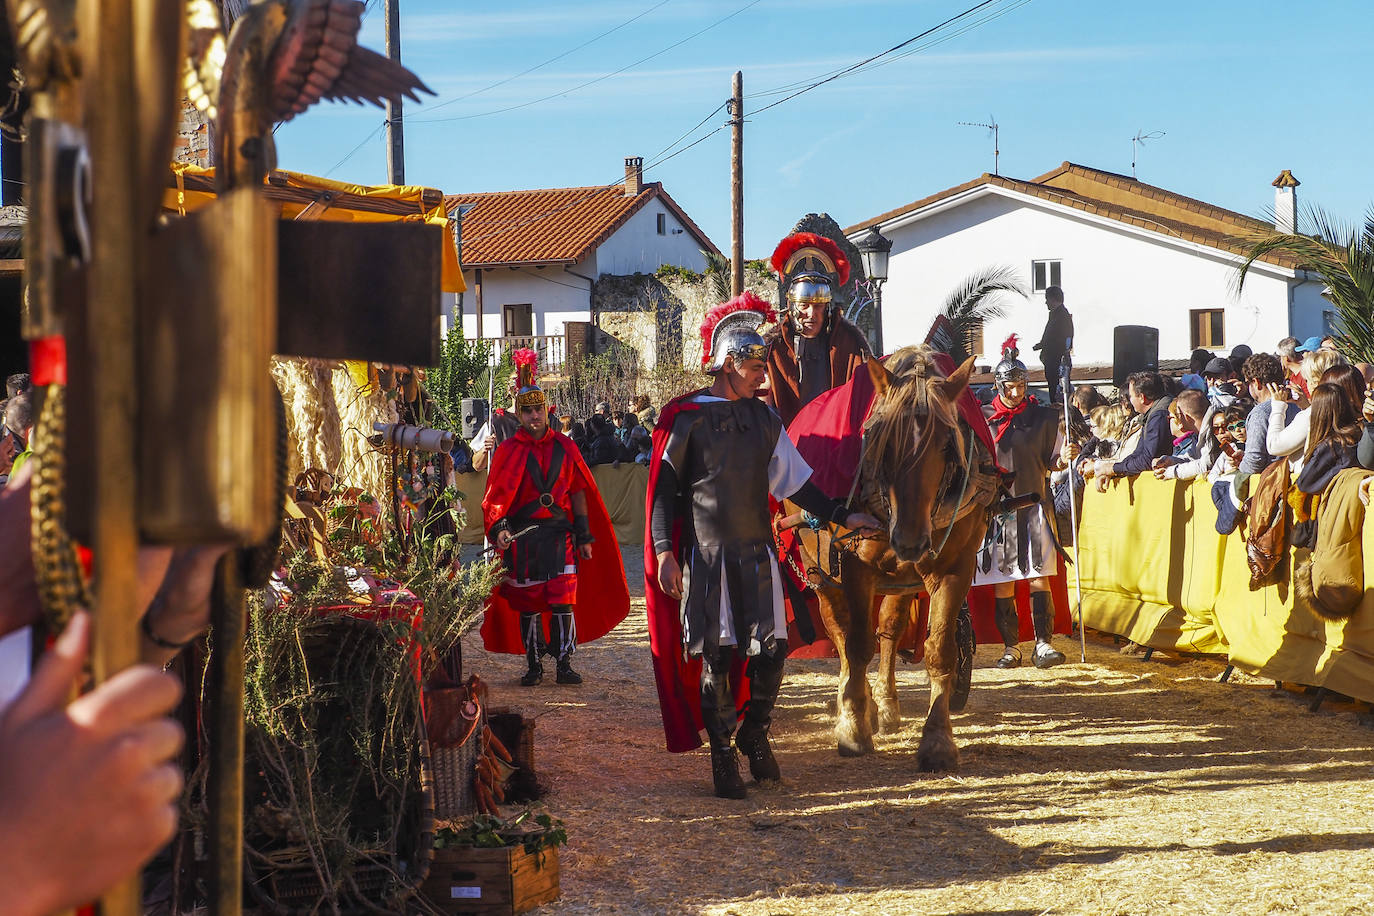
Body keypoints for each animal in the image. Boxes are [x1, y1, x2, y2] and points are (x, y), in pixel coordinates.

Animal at [785, 347, 1000, 769]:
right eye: (885, 446)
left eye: (946, 446)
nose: (911, 540)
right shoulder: (855, 567)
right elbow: (855, 646)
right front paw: (853, 728)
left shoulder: (954, 567)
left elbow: (939, 650)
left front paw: (937, 739)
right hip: (820, 571)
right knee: (841, 632)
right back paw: (855, 704)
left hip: (902, 580)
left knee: (889, 629)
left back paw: (884, 704)